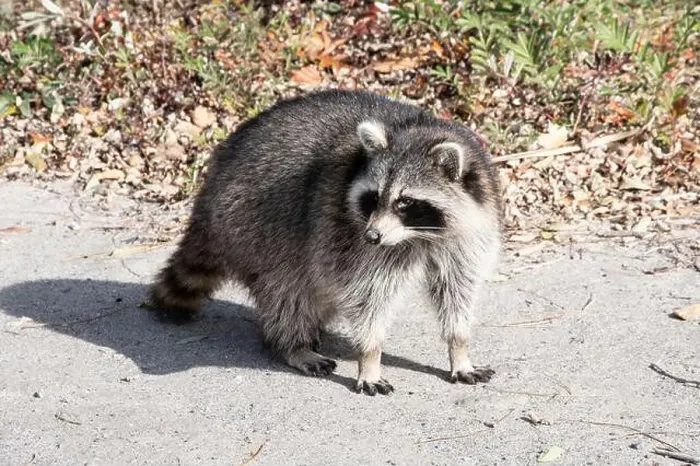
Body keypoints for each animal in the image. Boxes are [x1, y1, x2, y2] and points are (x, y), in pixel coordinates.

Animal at [150, 89, 502, 395]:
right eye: (374, 197)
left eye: (405, 202)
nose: (372, 236)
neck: (420, 235)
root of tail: (210, 188)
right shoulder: (349, 234)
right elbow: (368, 296)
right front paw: (370, 357)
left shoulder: (465, 234)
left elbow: (457, 290)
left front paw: (459, 347)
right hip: (254, 227)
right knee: (287, 291)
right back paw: (291, 344)